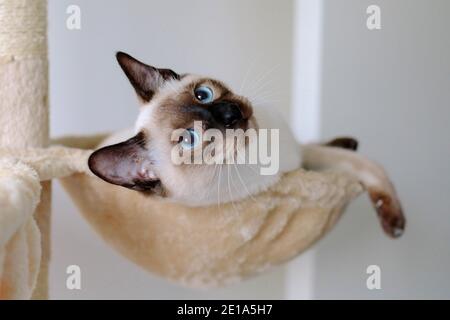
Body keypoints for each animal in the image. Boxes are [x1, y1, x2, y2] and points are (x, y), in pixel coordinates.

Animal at [89, 52, 406, 238]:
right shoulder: (300, 169)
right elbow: (371, 168)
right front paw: (396, 225)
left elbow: (350, 160)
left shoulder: (302, 155)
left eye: (203, 94)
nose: (230, 114)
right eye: (190, 139)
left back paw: (349, 141)